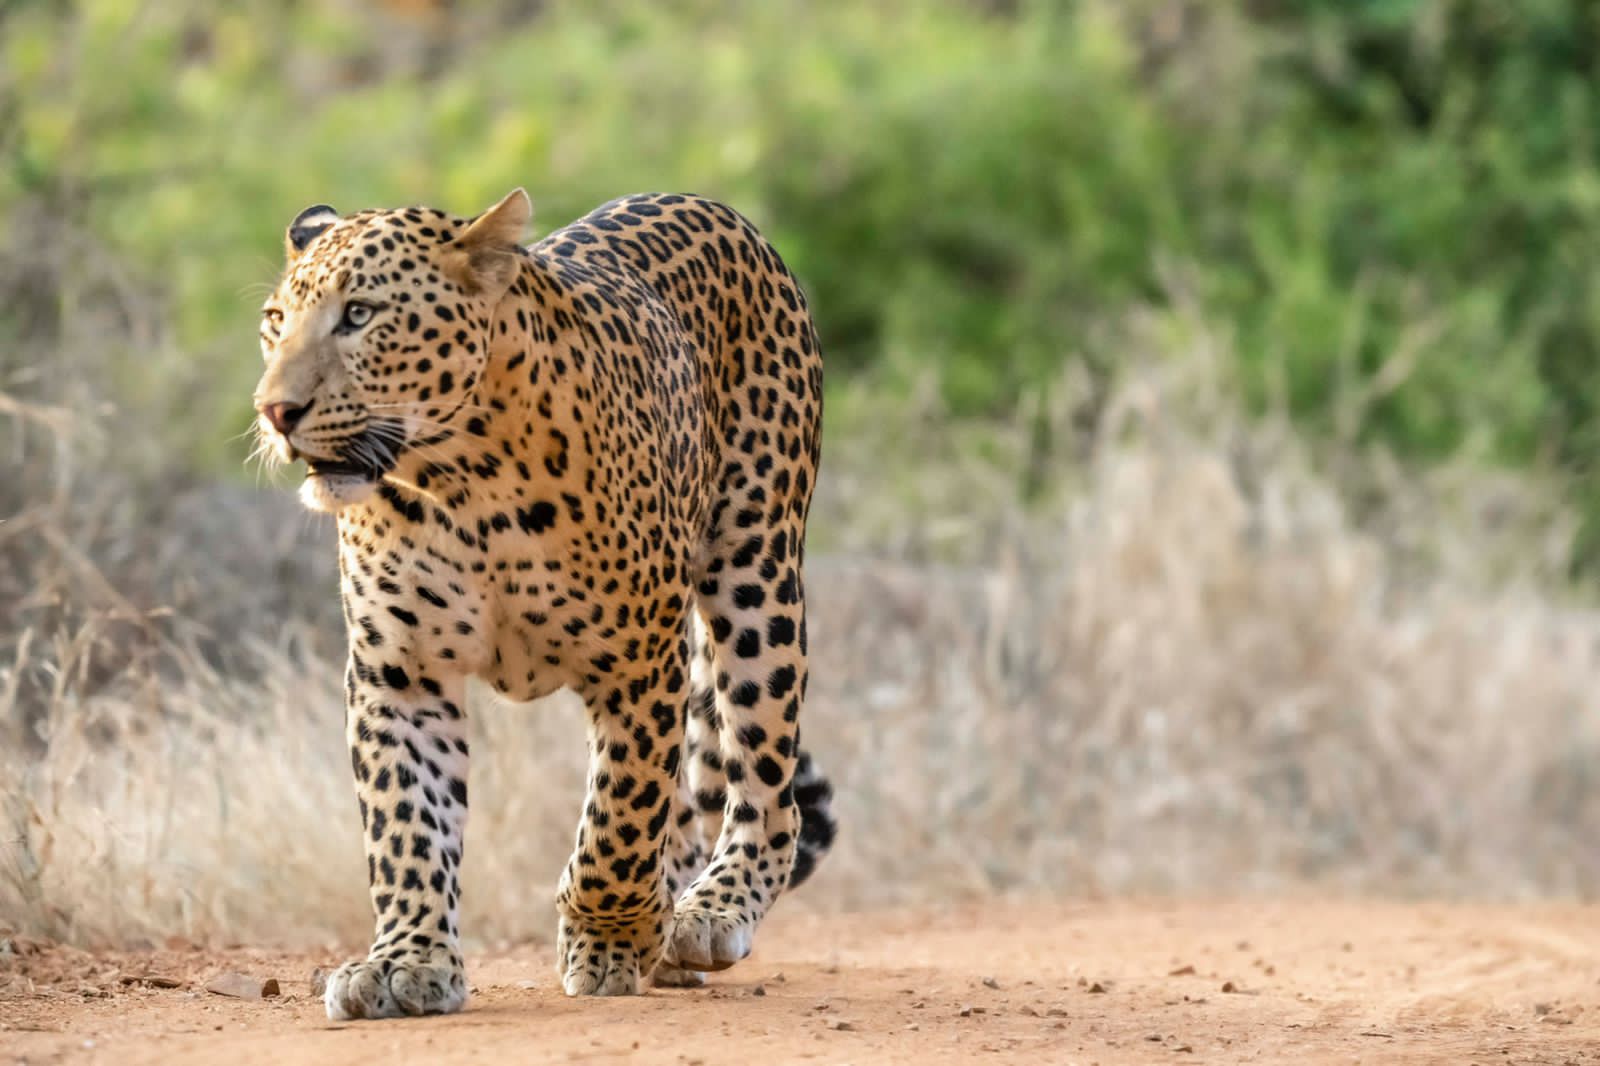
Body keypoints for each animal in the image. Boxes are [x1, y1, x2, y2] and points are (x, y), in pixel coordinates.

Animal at [251, 188, 837, 1020]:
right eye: (276, 321)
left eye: (358, 315)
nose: (276, 411)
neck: (456, 480)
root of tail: (713, 208)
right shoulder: (399, 673)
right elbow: (405, 824)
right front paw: (405, 962)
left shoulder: (640, 662)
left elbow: (619, 819)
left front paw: (609, 939)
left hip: (756, 576)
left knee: (766, 783)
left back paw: (706, 912)